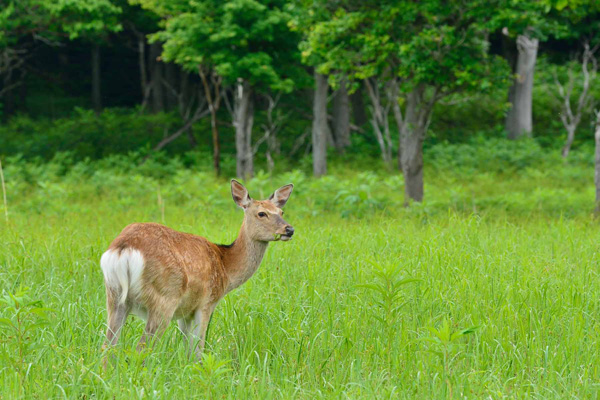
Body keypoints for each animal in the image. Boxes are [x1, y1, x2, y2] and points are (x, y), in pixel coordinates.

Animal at [99, 180, 294, 362]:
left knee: (107, 347)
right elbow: (198, 350)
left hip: (114, 295)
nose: (289, 229)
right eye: (261, 213)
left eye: (281, 212)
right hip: (165, 297)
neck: (225, 266)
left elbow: (187, 350)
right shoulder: (206, 303)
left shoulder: (185, 311)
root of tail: (124, 248)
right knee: (141, 349)